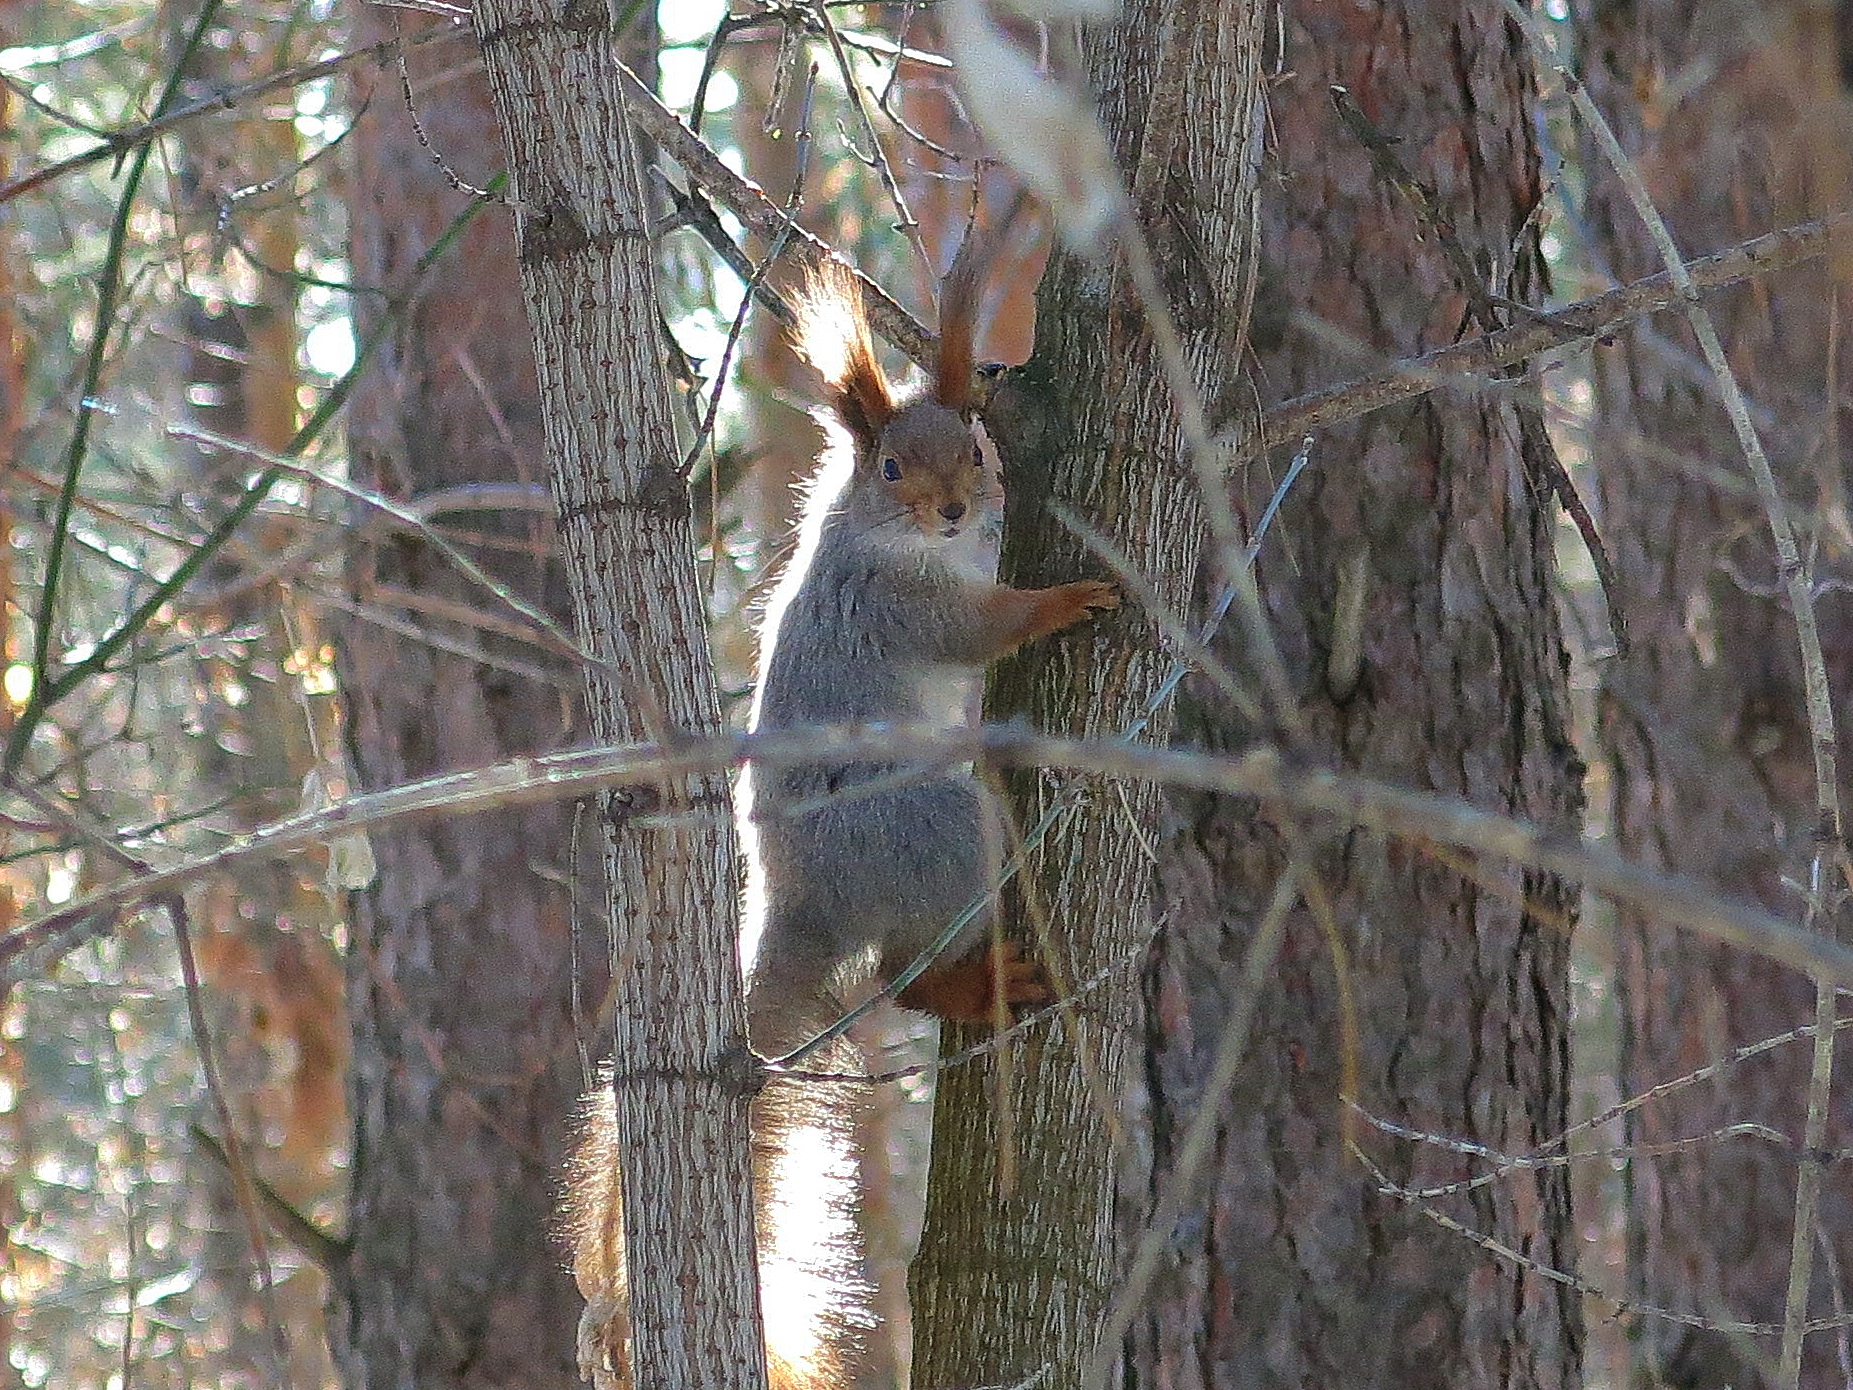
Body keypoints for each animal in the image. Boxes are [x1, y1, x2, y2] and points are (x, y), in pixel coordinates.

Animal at [566, 235, 1117, 1389]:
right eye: (891, 469)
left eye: (976, 450)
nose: (952, 509)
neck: (906, 545)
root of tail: (799, 904)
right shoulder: (900, 605)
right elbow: (979, 627)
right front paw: (1061, 600)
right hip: (935, 830)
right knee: (903, 974)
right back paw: (978, 984)